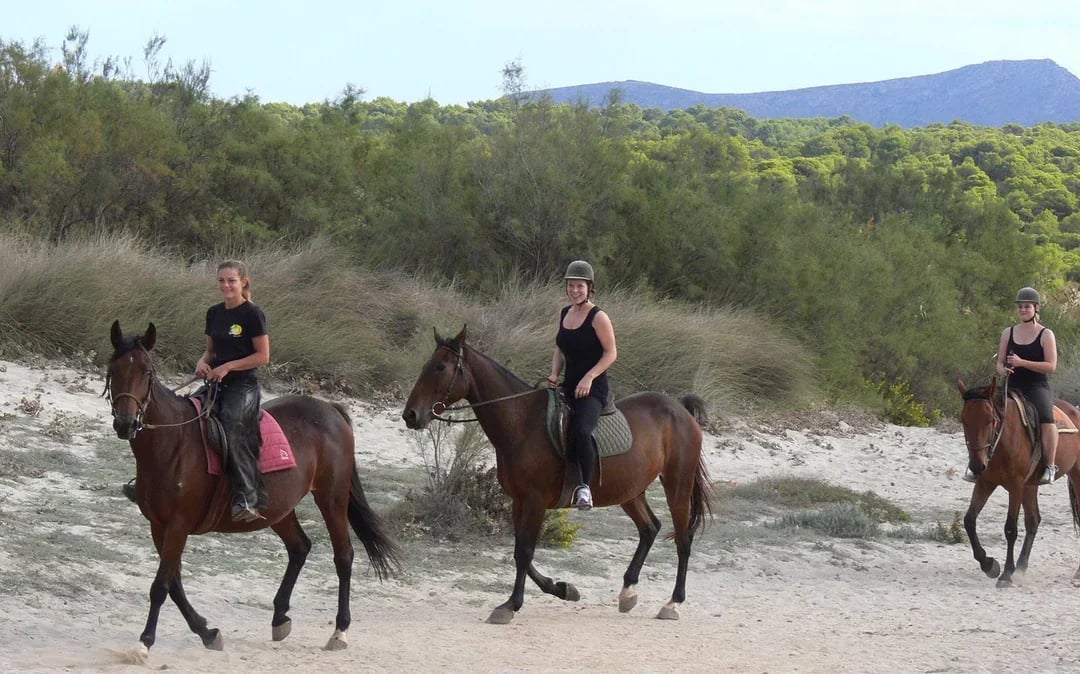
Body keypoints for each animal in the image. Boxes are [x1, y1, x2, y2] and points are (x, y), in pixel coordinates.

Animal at [105, 321, 402, 655]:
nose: (126, 424)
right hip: (277, 507)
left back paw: (340, 630)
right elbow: (175, 585)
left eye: (147, 372)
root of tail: (331, 409)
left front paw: (144, 643)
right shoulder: (159, 526)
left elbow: (161, 586)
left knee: (343, 556)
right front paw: (207, 632)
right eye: (113, 370)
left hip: (332, 497)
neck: (173, 443)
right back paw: (280, 617)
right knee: (300, 547)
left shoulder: (178, 526)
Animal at [401, 327, 713, 623]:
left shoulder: (535, 500)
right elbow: (521, 553)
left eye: (441, 367)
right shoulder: (519, 501)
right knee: (650, 528)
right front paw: (563, 589)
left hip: (677, 485)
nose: (410, 415)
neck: (523, 423)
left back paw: (673, 603)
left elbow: (524, 553)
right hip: (630, 491)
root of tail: (681, 411)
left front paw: (510, 606)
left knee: (683, 539)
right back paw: (628, 593)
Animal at [956, 378, 1080, 587]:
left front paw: (1006, 574)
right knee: (1033, 520)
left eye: (990, 420)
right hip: (1030, 486)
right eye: (964, 420)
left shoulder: (1016, 486)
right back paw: (1020, 567)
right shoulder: (986, 482)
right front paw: (989, 564)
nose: (976, 465)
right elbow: (969, 520)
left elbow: (1010, 529)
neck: (1003, 440)